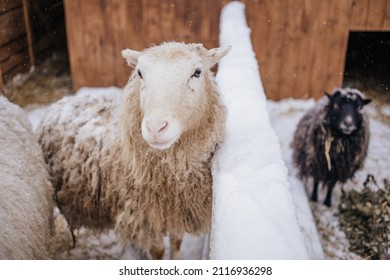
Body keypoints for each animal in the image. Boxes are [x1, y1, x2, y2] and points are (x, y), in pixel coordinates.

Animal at [37, 41, 230, 258]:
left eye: (197, 72)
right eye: (140, 73)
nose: (155, 127)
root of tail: (63, 101)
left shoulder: (176, 209)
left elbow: (177, 242)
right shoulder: (144, 215)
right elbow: (158, 251)